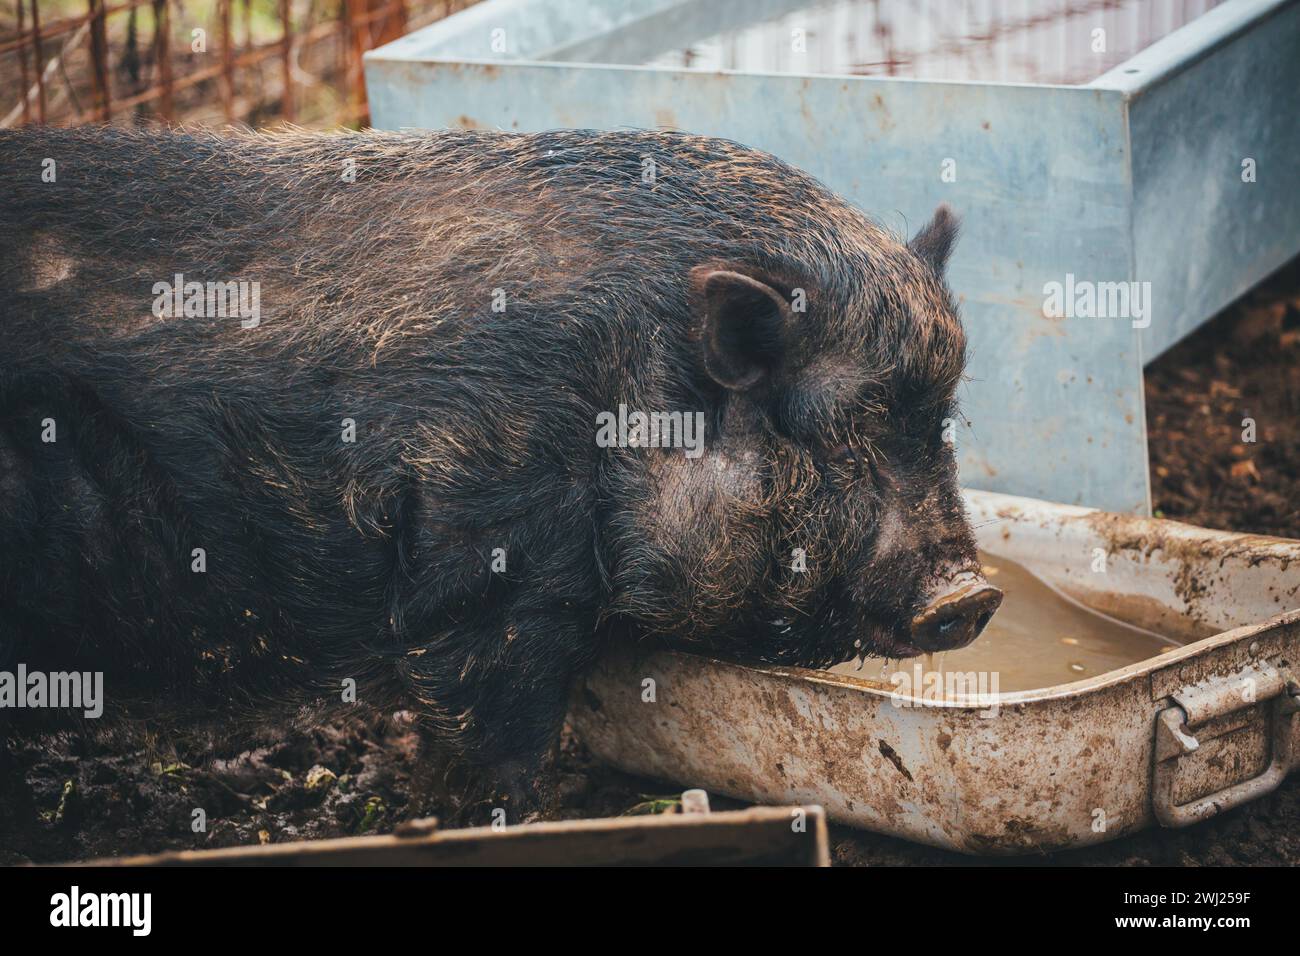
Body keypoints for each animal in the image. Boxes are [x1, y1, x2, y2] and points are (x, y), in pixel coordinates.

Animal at [0, 126, 1000, 812]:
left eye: (939, 421)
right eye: (838, 430)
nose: (973, 594)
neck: (625, 395)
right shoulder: (486, 567)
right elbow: (496, 732)